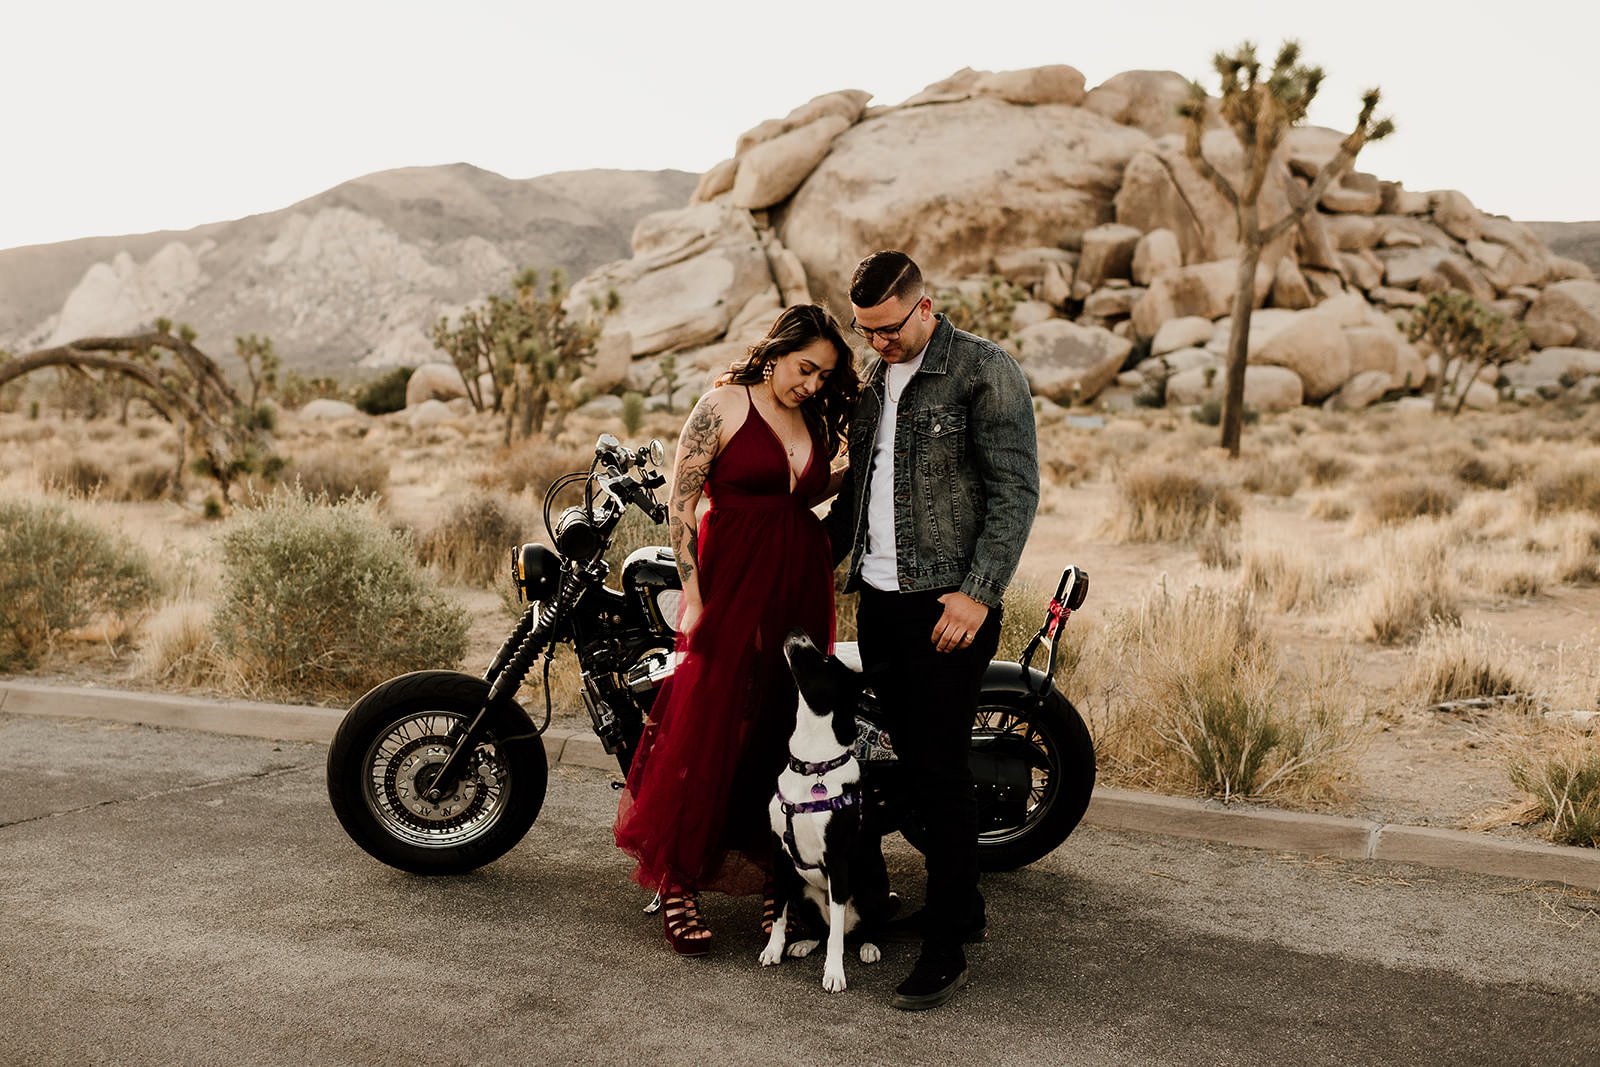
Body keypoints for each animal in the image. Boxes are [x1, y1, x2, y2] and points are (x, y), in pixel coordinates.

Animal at [758, 633, 896, 991]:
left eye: (824, 661)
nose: (799, 632)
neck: (812, 768)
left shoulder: (837, 860)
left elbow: (835, 938)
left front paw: (834, 973)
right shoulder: (780, 854)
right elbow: (778, 912)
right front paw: (773, 949)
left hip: (873, 889)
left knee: (858, 929)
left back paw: (869, 946)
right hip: (803, 889)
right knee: (823, 929)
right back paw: (805, 943)